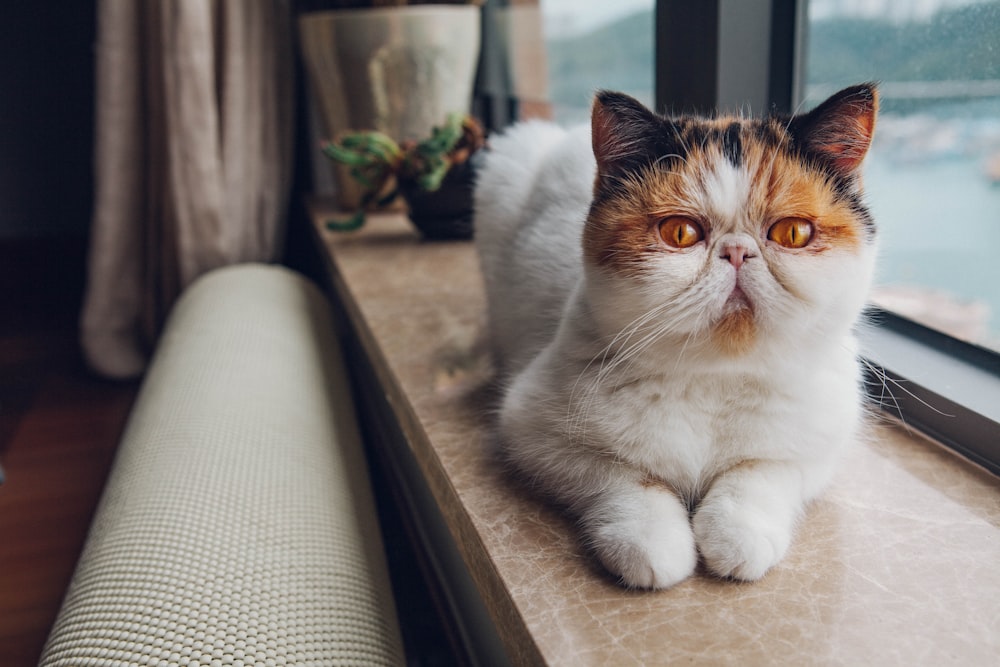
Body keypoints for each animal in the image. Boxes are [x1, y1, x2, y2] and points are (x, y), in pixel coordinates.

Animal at [472, 85, 880, 588]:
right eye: (681, 233)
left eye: (793, 232)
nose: (737, 251)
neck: (714, 380)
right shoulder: (532, 431)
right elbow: (622, 475)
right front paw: (651, 541)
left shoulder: (821, 443)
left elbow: (763, 470)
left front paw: (738, 533)